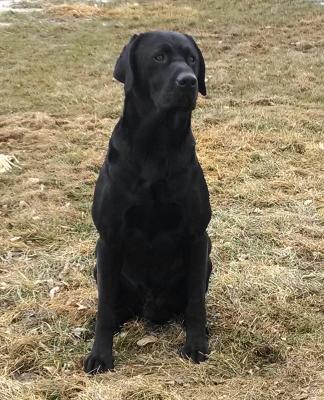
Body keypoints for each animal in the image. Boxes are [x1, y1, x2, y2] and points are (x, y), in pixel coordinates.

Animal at [84, 31, 213, 376]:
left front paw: (196, 345)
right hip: (98, 264)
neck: (157, 143)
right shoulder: (109, 239)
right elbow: (104, 307)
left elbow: (196, 304)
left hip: (207, 259)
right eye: (159, 58)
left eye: (192, 58)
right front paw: (100, 356)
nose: (189, 81)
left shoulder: (198, 237)